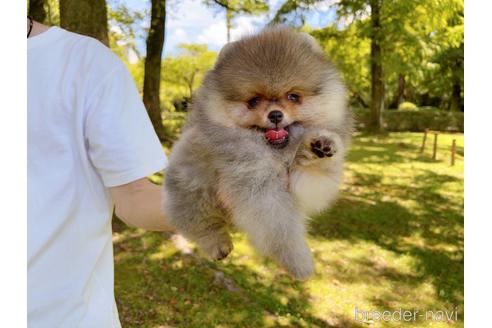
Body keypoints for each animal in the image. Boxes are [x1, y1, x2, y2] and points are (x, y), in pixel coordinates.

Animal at [163, 26, 352, 280]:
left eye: (293, 96)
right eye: (253, 101)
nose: (275, 114)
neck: (278, 153)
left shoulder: (301, 183)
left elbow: (315, 178)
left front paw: (320, 145)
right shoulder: (255, 183)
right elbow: (280, 228)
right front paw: (299, 263)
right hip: (191, 189)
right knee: (200, 223)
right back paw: (217, 244)